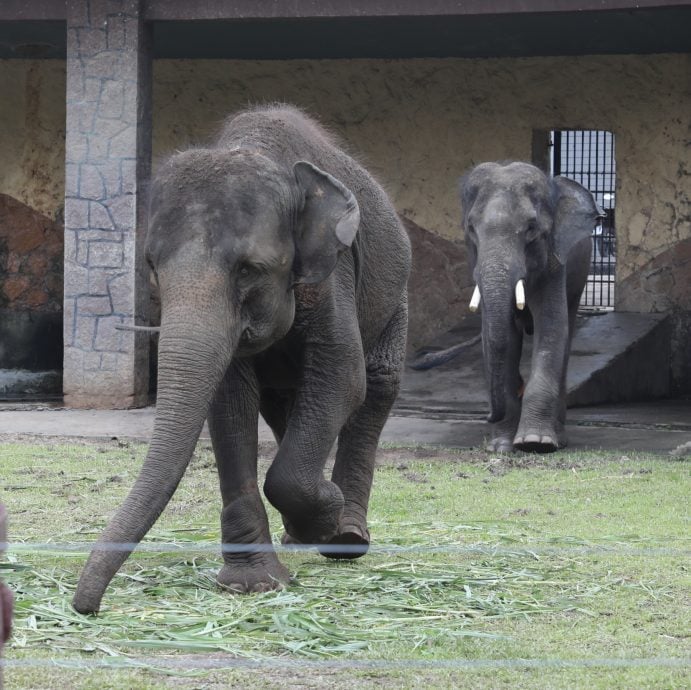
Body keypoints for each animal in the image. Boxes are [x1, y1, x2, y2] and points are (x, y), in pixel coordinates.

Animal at [73, 105, 414, 612]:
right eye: (152, 267)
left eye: (249, 269)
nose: (87, 607)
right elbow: (230, 400)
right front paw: (253, 584)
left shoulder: (334, 273)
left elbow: (343, 377)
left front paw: (326, 516)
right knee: (283, 404)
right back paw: (302, 535)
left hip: (396, 299)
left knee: (377, 385)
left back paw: (347, 537)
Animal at [414, 160, 604, 452]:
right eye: (471, 229)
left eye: (531, 228)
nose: (488, 415)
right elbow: (501, 337)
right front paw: (501, 446)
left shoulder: (554, 264)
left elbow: (552, 329)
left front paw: (535, 442)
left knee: (567, 332)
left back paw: (559, 437)